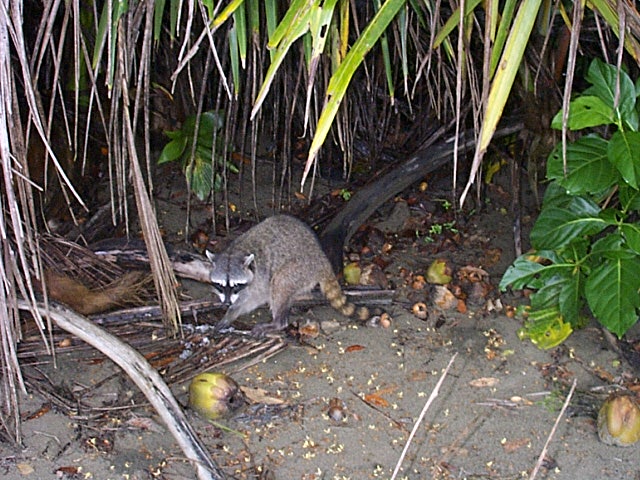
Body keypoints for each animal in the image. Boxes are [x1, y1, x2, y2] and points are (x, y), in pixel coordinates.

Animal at [205, 216, 364, 336]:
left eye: (236, 285)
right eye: (220, 285)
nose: (226, 303)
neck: (235, 252)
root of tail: (322, 259)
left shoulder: (261, 276)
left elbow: (256, 298)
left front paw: (233, 310)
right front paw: (229, 311)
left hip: (301, 268)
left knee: (279, 282)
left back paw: (277, 323)